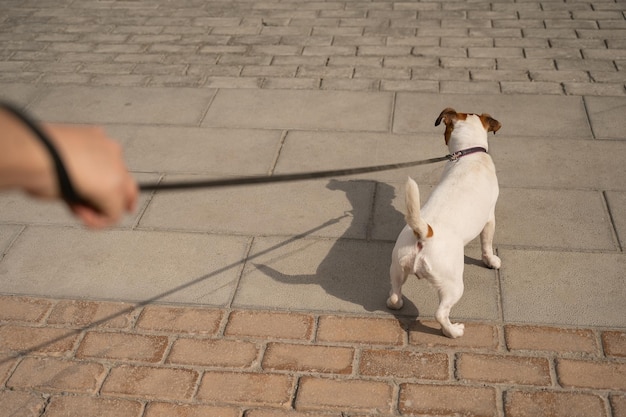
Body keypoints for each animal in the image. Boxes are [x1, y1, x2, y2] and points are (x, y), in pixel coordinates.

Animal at [386, 107, 502, 338]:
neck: (468, 154)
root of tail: (425, 233)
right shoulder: (489, 219)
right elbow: (487, 244)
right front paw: (491, 261)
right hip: (453, 285)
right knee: (441, 313)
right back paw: (453, 331)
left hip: (397, 268)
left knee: (395, 296)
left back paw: (397, 302)